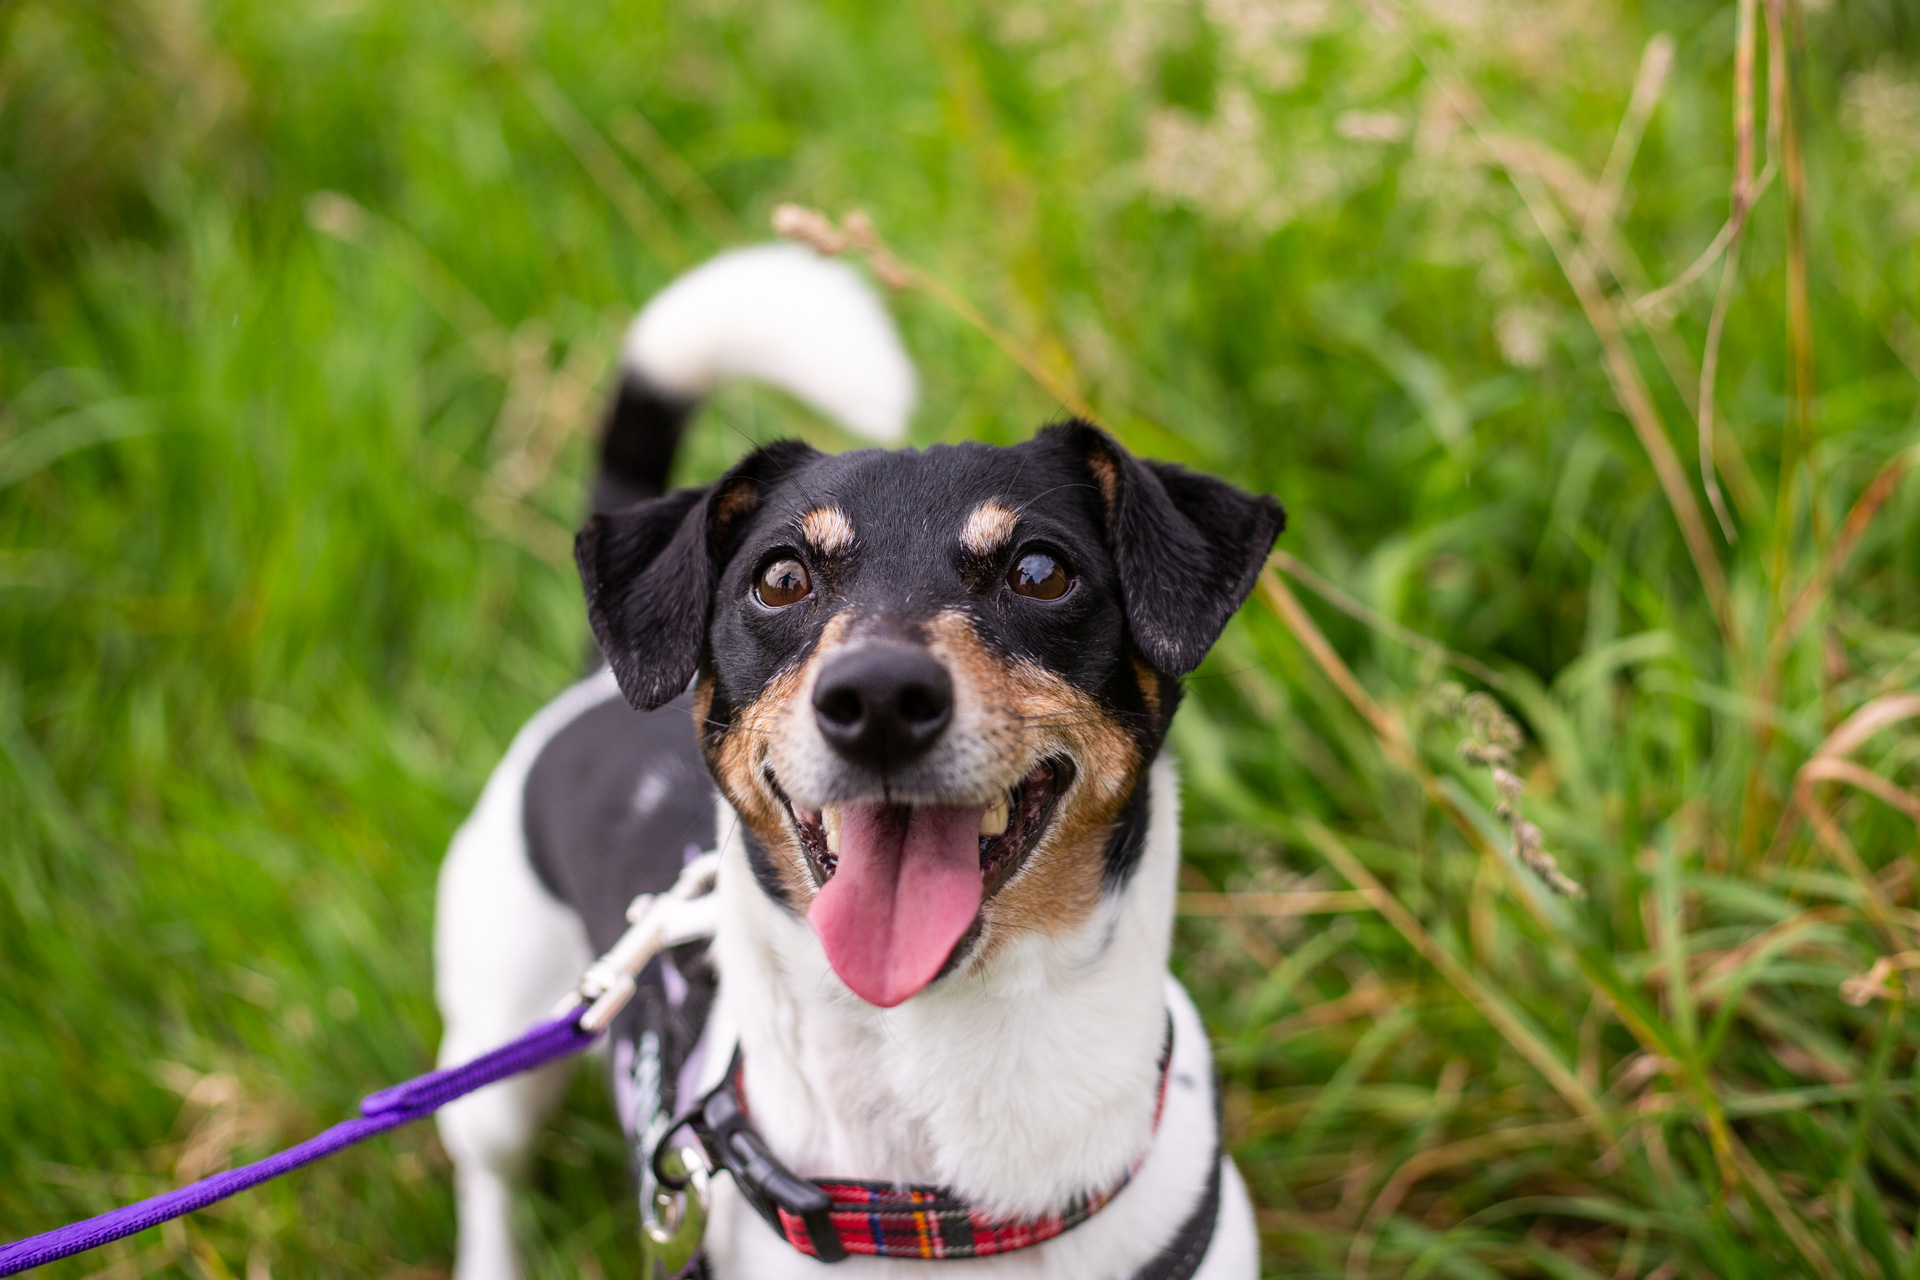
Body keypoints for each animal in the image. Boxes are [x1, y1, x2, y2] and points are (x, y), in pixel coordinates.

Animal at [432, 245, 1274, 1274]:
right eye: (781, 577)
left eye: (1041, 571)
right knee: (489, 1175)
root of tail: (595, 681)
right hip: (495, 1040)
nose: (876, 699)